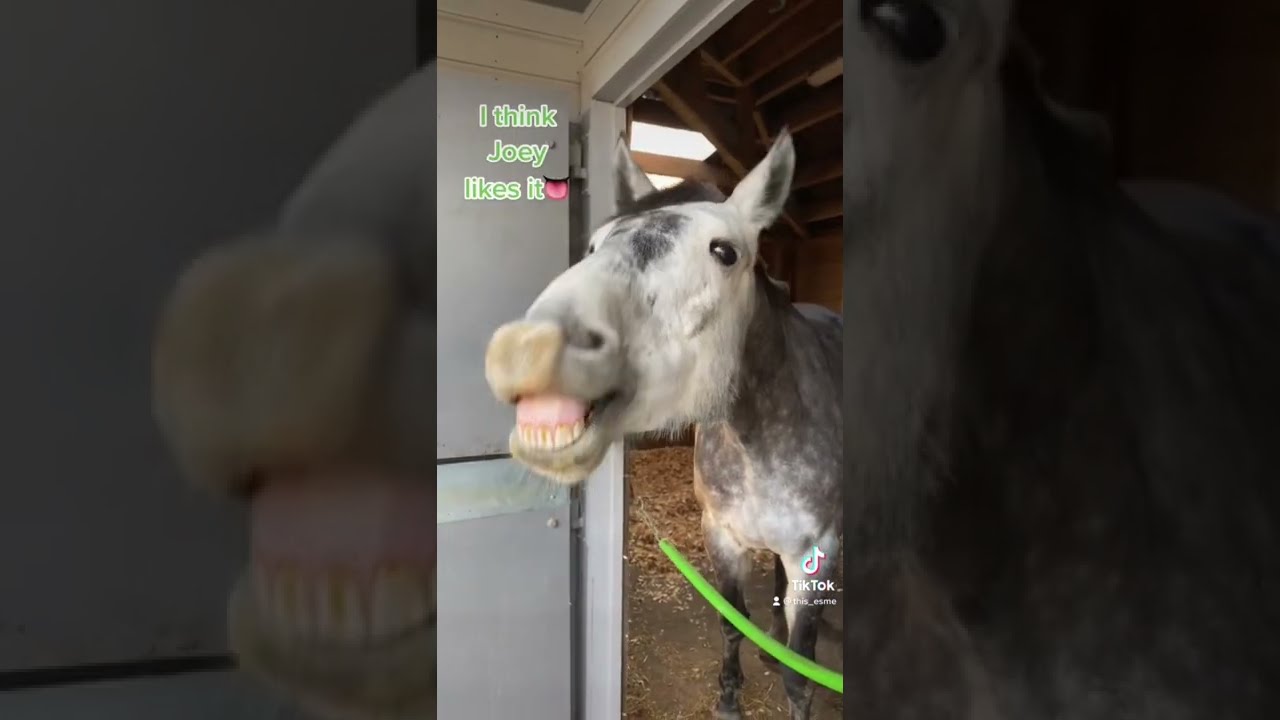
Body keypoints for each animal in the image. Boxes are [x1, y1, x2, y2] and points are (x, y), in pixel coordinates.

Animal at [483, 131, 842, 719]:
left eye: (725, 252)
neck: (758, 440)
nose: (526, 350)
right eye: (593, 245)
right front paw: (729, 699)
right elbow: (731, 625)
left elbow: (801, 671)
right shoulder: (721, 535)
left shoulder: (818, 552)